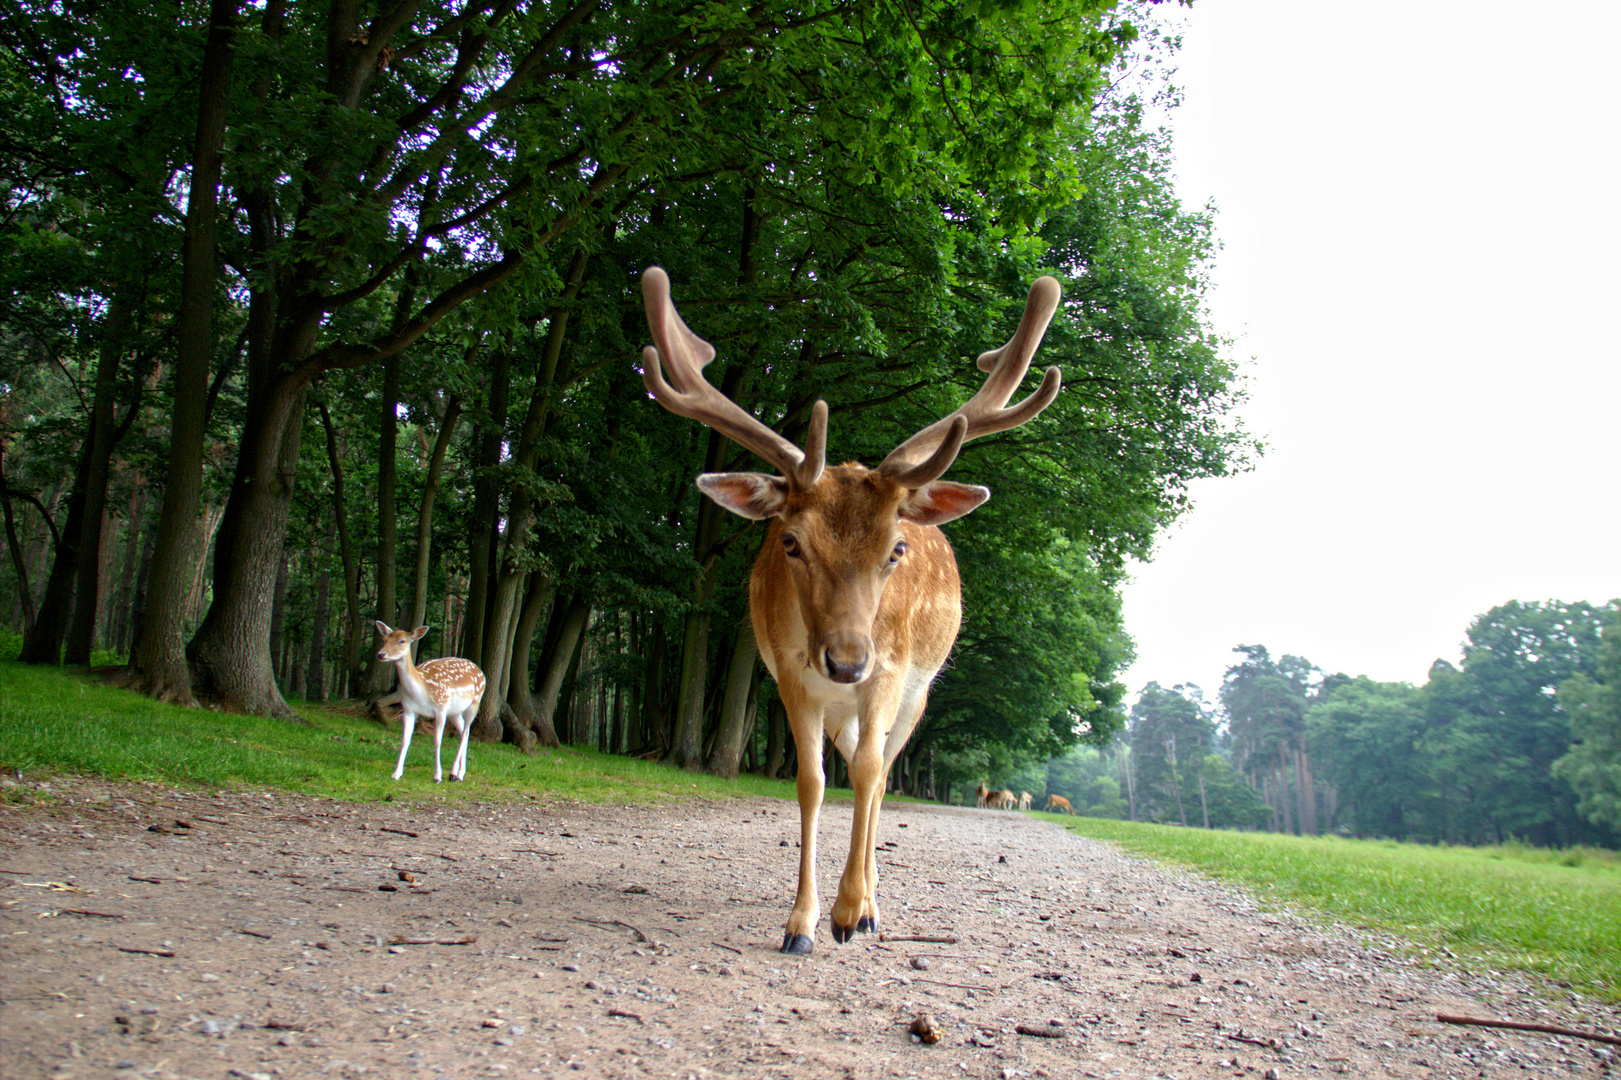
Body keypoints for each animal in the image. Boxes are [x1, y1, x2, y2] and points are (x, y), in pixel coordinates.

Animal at [374, 622, 486, 781]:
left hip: (475, 702)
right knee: (464, 730)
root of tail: (481, 671)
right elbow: (405, 740)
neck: (422, 693)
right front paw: (396, 773)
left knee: (465, 733)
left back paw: (455, 773)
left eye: (402, 641)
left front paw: (438, 776)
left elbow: (437, 741)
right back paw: (459, 773)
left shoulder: (441, 708)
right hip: (455, 712)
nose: (381, 654)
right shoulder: (408, 709)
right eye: (384, 639)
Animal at [632, 264, 1063, 947]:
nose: (845, 660)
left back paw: (870, 904)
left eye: (897, 549)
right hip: (842, 704)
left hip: (915, 693)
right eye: (790, 542)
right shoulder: (789, 674)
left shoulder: (890, 672)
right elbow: (812, 781)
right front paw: (801, 923)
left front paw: (849, 910)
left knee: (881, 774)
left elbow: (866, 775)